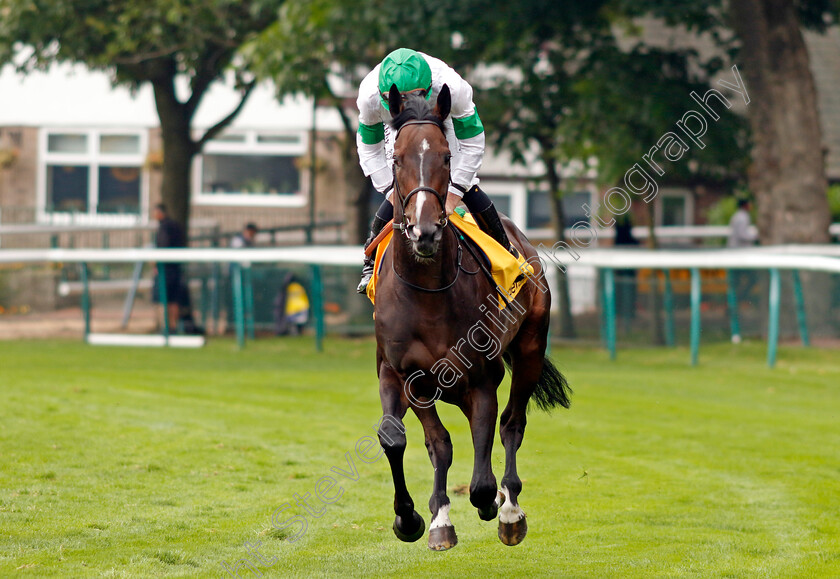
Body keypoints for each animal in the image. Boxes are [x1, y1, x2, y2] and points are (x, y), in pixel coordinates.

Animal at [374, 84, 572, 552]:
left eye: (447, 156)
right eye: (397, 159)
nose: (425, 231)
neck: (427, 293)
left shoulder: (483, 374)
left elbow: (483, 462)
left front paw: (491, 503)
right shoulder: (408, 375)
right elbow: (427, 442)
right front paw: (423, 519)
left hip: (529, 348)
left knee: (512, 423)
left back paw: (509, 507)